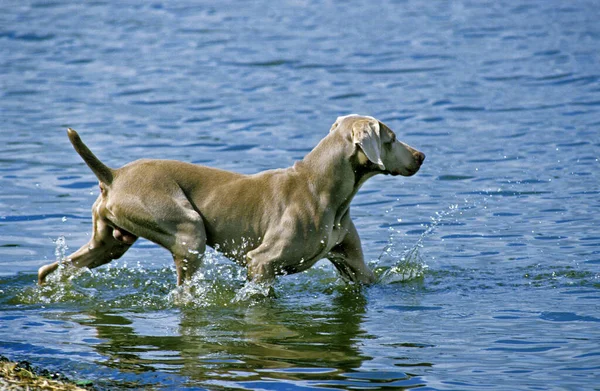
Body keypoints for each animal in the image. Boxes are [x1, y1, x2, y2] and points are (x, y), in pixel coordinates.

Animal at [37, 115, 424, 286]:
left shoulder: (355, 267)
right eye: (392, 138)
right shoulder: (261, 263)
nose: (421, 155)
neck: (322, 187)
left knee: (51, 269)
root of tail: (115, 174)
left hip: (111, 240)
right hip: (187, 229)